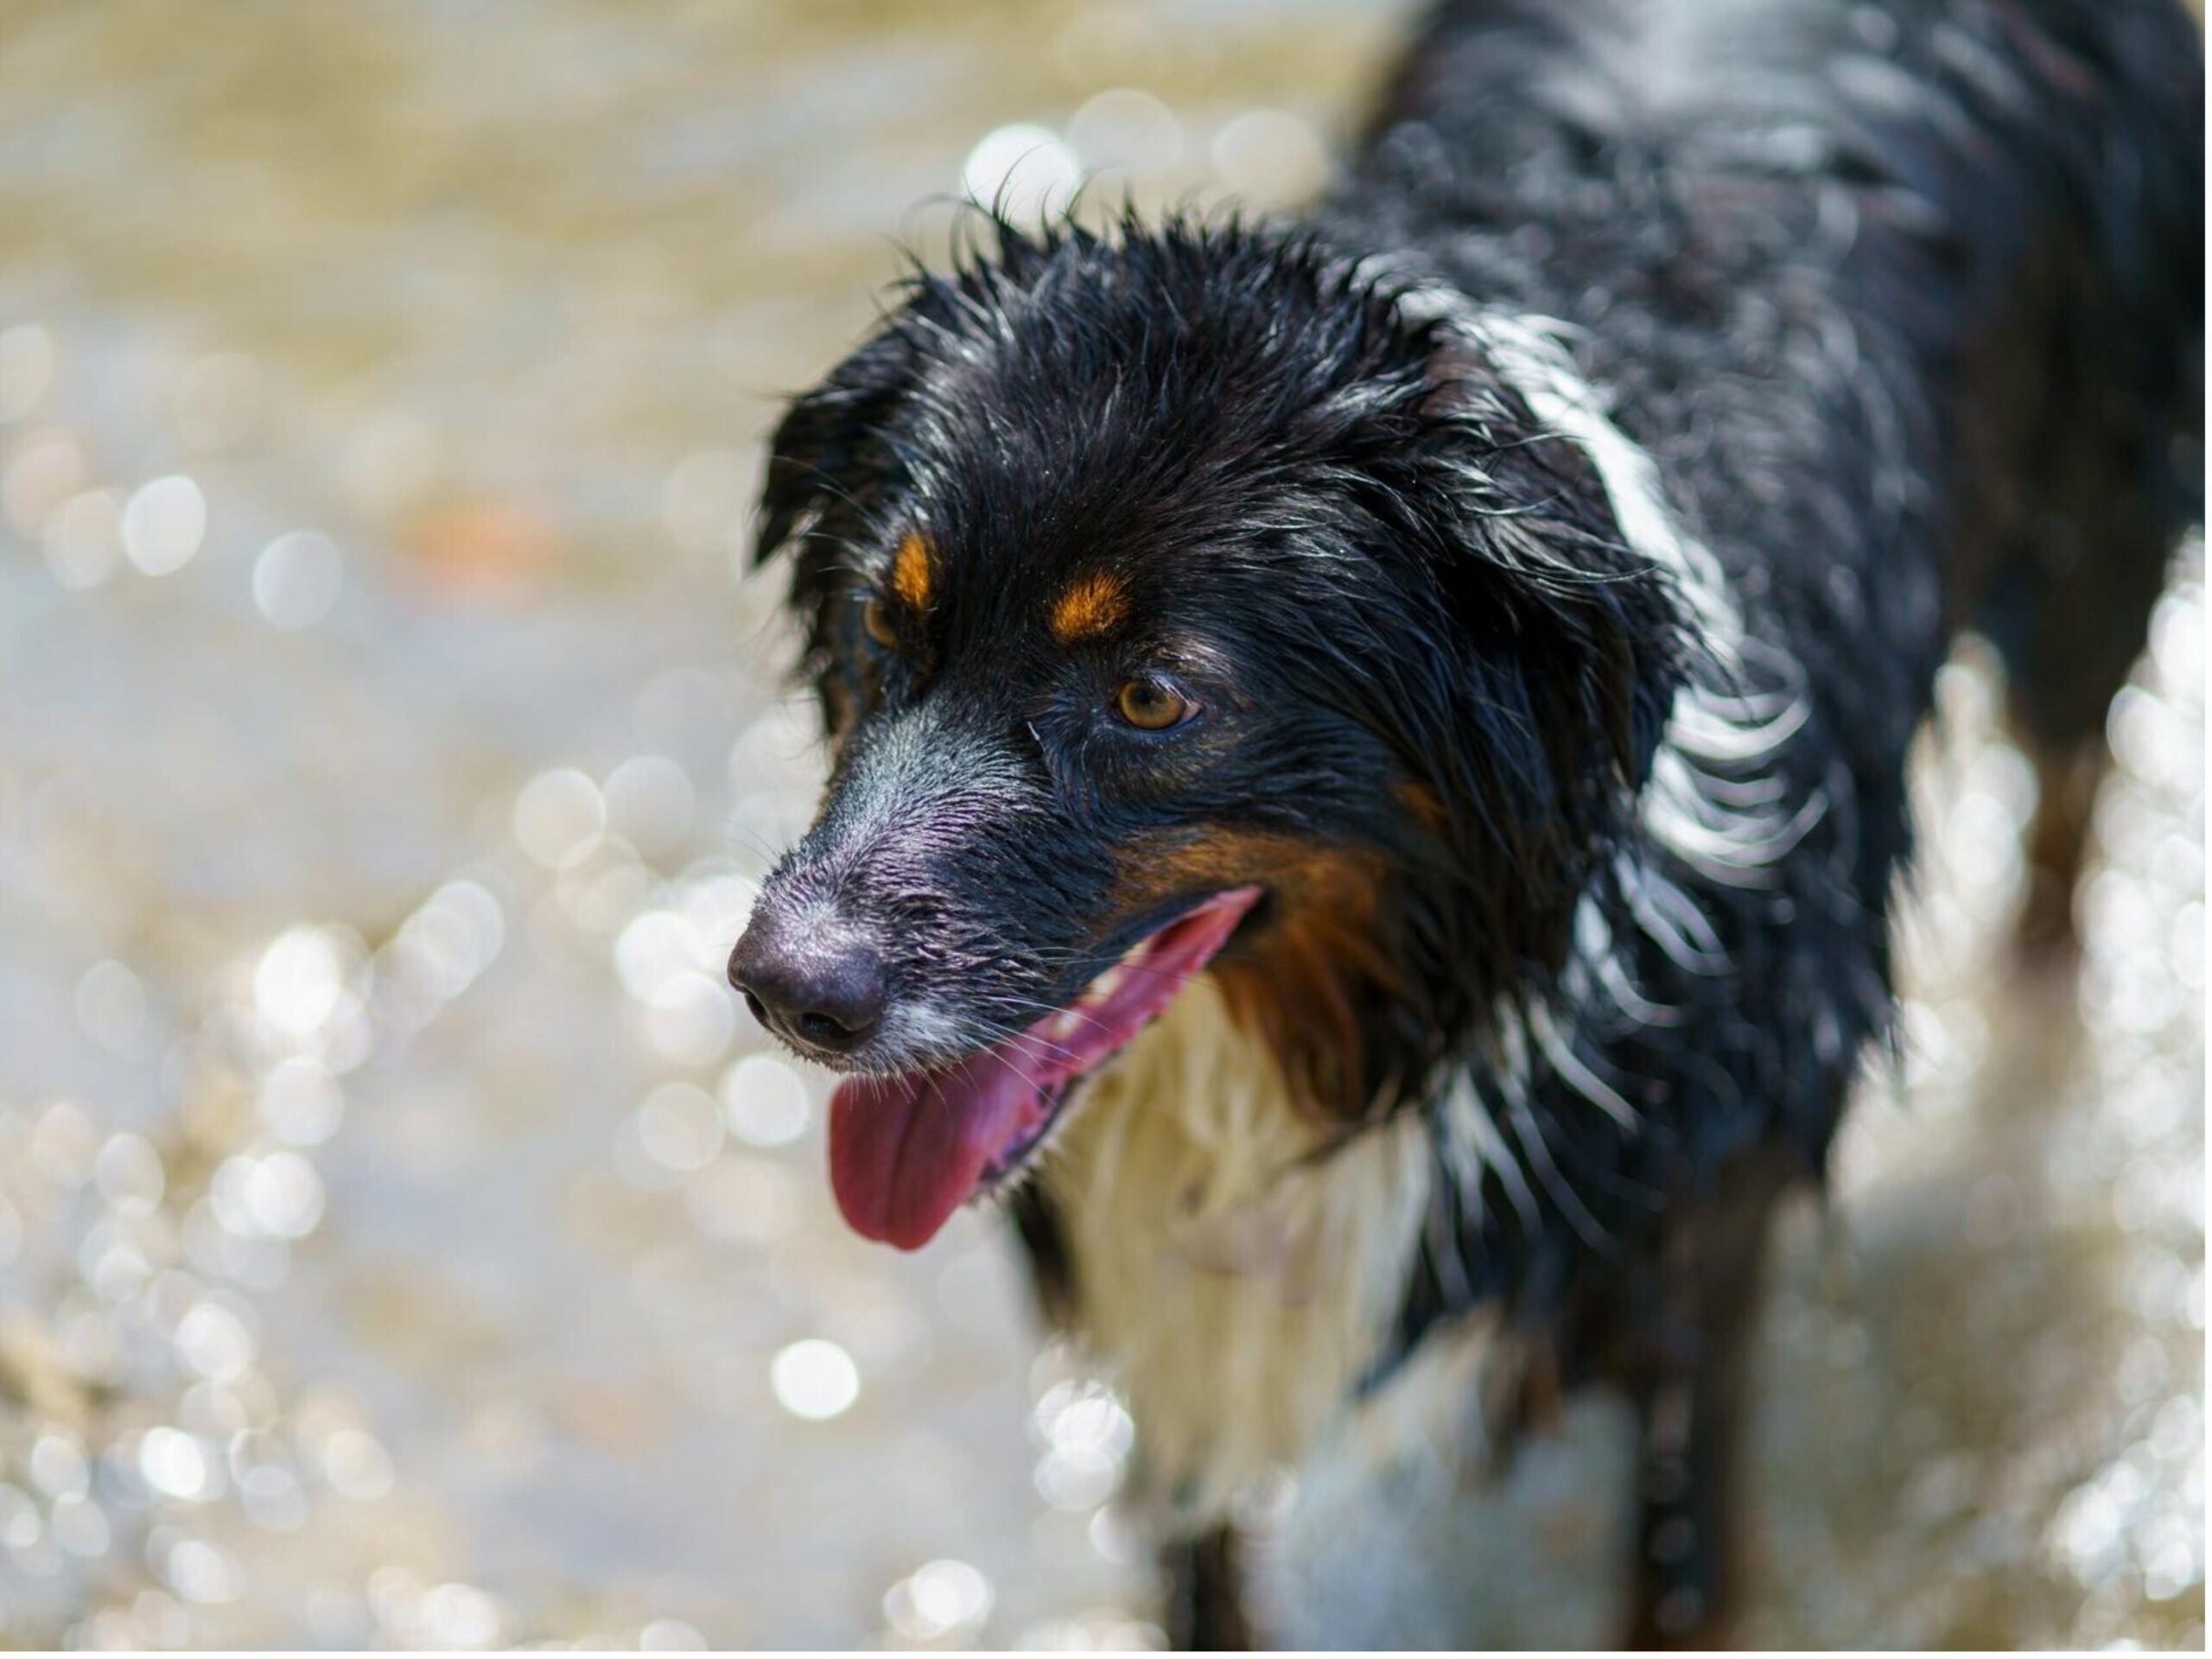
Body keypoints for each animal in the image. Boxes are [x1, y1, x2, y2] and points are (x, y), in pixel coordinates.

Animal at [734, 0, 2202, 1637]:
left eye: (1155, 698)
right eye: (884, 616)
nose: (785, 988)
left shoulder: (1696, 1261)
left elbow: (1678, 1576)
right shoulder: (1176, 1342)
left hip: (2093, 555)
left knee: (2060, 859)